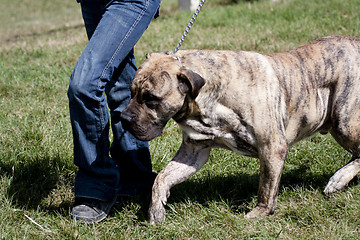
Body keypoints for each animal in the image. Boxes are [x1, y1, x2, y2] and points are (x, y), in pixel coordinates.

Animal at [120, 36, 360, 225]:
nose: (123, 118)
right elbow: (162, 177)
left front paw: (259, 213)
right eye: (131, 92)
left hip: (344, 120)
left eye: (151, 99)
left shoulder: (272, 147)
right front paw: (156, 209)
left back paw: (338, 179)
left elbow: (266, 186)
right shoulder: (194, 150)